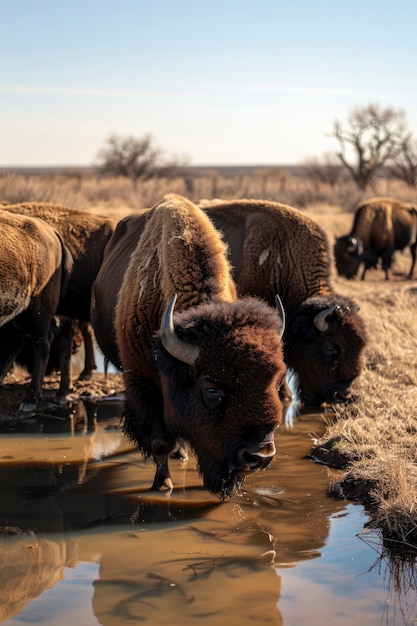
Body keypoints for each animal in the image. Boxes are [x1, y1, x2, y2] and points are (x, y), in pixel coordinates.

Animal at [92, 193, 286, 494]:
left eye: (276, 384)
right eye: (211, 389)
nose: (260, 456)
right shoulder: (142, 382)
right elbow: (159, 439)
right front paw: (163, 484)